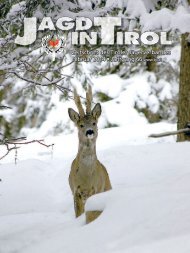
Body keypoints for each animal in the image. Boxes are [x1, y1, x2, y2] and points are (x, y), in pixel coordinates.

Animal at [68, 85, 112, 223]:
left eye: (94, 123)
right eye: (81, 125)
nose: (89, 131)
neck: (86, 178)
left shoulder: (95, 189)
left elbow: (91, 215)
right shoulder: (75, 190)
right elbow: (79, 214)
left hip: (107, 188)